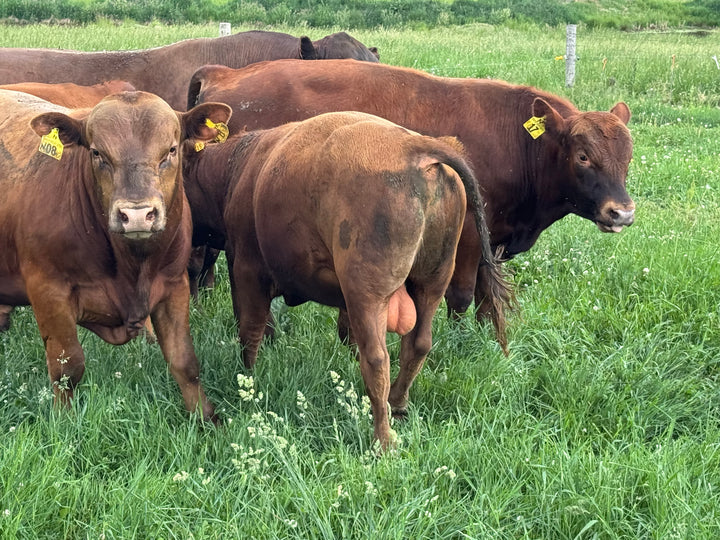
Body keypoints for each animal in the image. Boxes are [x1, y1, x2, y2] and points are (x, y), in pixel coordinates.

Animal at [0, 89, 231, 420]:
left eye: (171, 150)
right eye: (97, 153)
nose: (136, 215)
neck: (133, 266)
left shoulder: (174, 284)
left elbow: (185, 361)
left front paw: (205, 417)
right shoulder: (48, 290)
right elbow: (68, 367)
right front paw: (63, 421)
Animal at [181, 111, 513, 449]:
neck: (237, 168)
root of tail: (418, 149)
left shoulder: (247, 270)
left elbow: (250, 332)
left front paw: (247, 382)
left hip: (367, 293)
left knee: (377, 359)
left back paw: (383, 439)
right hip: (431, 282)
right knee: (418, 344)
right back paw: (398, 404)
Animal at [188, 60, 635, 323]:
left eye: (628, 155)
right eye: (583, 156)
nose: (622, 213)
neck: (515, 140)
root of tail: (223, 72)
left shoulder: (491, 241)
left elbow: (486, 296)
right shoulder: (467, 238)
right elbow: (461, 296)